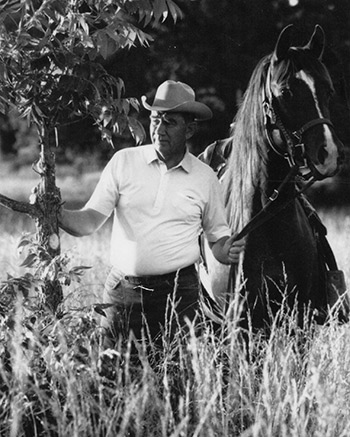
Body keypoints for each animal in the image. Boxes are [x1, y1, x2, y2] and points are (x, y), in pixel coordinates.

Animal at [200, 25, 348, 332]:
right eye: (287, 92)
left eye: (328, 91)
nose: (330, 153)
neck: (268, 218)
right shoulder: (243, 324)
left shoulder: (300, 318)